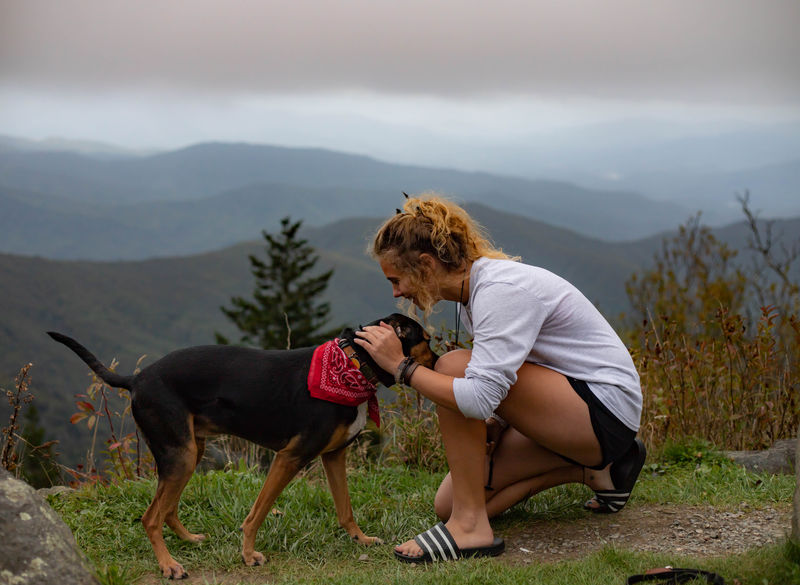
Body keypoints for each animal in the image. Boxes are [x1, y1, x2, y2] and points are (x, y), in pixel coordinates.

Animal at [48, 312, 438, 576]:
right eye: (427, 340)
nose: (440, 361)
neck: (353, 363)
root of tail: (136, 378)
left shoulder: (333, 456)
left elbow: (345, 508)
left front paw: (361, 540)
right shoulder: (289, 456)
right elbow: (257, 513)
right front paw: (249, 555)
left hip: (190, 452)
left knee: (166, 508)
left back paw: (188, 540)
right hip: (180, 455)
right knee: (150, 517)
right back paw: (169, 564)